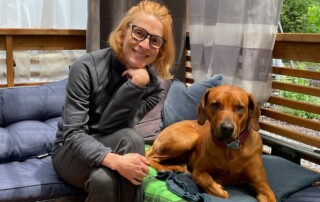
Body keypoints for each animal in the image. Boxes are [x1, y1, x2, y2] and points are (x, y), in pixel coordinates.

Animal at [145, 85, 276, 202]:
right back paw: (165, 170)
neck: (230, 149)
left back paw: (177, 169)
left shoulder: (262, 185)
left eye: (240, 107)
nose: (227, 128)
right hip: (189, 138)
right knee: (151, 158)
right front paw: (217, 187)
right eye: (215, 105)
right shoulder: (199, 171)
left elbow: (269, 195)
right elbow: (207, 180)